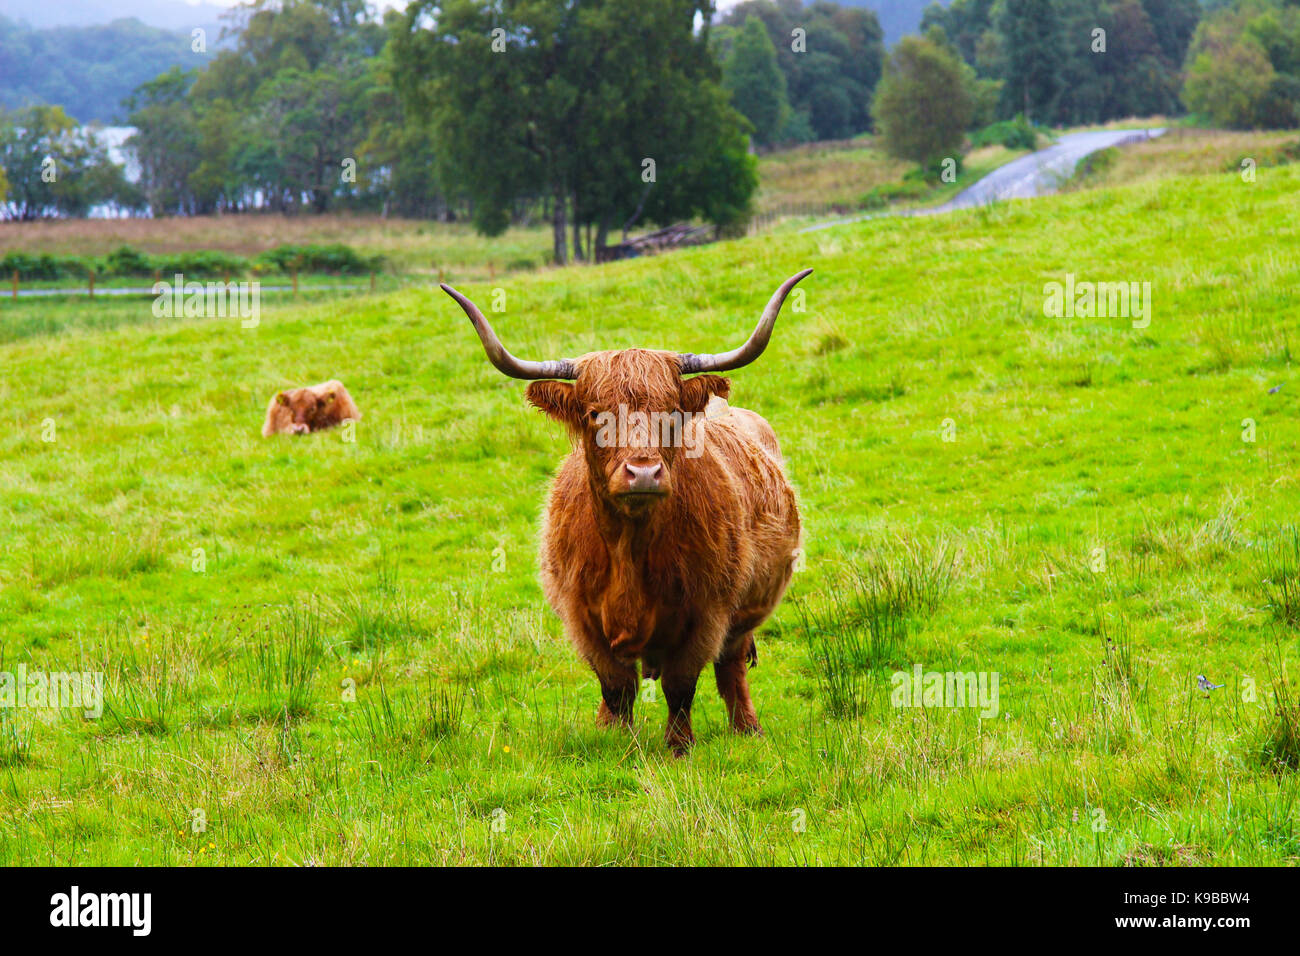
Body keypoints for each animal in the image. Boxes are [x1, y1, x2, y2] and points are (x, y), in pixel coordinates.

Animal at [443, 270, 810, 753]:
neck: (629, 549)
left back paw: (747, 728)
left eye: (671, 412)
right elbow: (617, 687)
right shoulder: (582, 617)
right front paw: (615, 741)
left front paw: (678, 747)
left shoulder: (706, 614)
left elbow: (680, 685)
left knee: (730, 667)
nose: (644, 473)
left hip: (743, 613)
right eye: (594, 414)